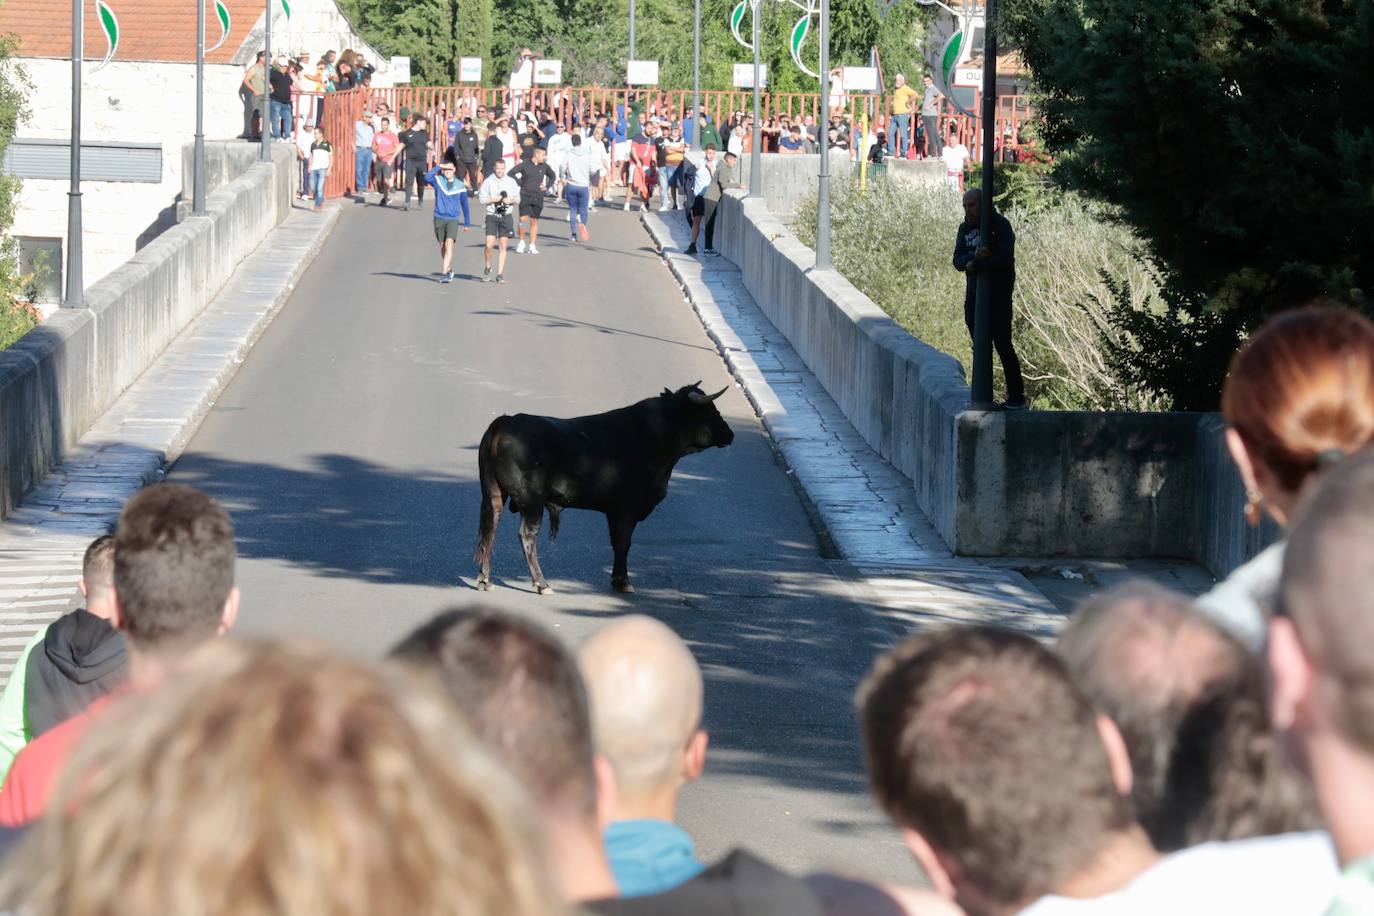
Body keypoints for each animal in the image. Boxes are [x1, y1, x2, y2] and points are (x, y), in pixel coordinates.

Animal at [475, 384, 736, 596]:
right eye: (710, 410)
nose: (730, 434)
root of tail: (506, 421)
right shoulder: (628, 508)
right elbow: (623, 542)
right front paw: (623, 581)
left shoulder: (614, 510)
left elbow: (616, 542)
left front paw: (617, 579)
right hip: (531, 501)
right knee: (527, 535)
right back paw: (542, 583)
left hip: (494, 494)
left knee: (490, 527)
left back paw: (485, 579)